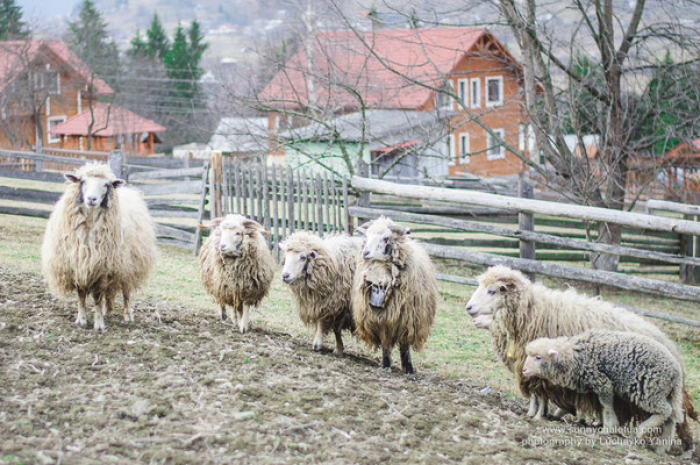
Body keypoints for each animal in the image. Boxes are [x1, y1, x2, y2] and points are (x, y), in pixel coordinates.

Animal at [42, 163, 156, 330]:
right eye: (83, 181)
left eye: (106, 185)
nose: (91, 199)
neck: (90, 222)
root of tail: (130, 191)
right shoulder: (78, 264)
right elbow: (81, 295)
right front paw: (81, 320)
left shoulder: (103, 268)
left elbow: (97, 297)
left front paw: (99, 324)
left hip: (128, 265)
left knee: (126, 291)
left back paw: (127, 315)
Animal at [350, 217, 438, 374]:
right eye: (367, 236)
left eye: (386, 238)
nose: (365, 253)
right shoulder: (379, 318)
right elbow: (385, 343)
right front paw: (386, 365)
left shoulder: (407, 318)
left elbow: (404, 345)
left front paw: (409, 368)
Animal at [524, 330, 684, 454]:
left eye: (538, 357)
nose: (524, 371)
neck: (573, 354)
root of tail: (676, 373)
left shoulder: (602, 381)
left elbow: (606, 405)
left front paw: (609, 428)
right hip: (663, 393)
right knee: (671, 418)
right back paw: (662, 447)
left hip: (649, 391)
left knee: (666, 411)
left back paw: (642, 430)